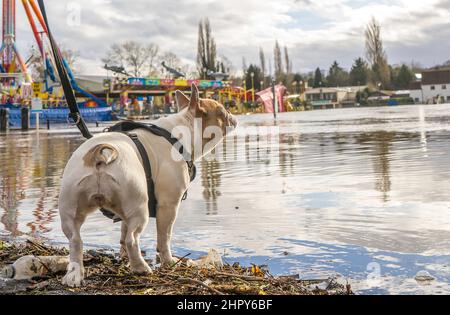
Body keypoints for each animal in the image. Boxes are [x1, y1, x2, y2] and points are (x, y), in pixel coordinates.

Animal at [58, 84, 237, 288]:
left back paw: (74, 274)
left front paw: (123, 258)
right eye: (222, 111)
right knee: (132, 239)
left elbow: (122, 232)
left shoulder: (124, 213)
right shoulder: (168, 206)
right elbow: (164, 238)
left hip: (72, 209)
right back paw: (141, 267)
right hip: (139, 208)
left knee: (76, 241)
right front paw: (168, 262)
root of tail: (98, 153)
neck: (180, 134)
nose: (233, 115)